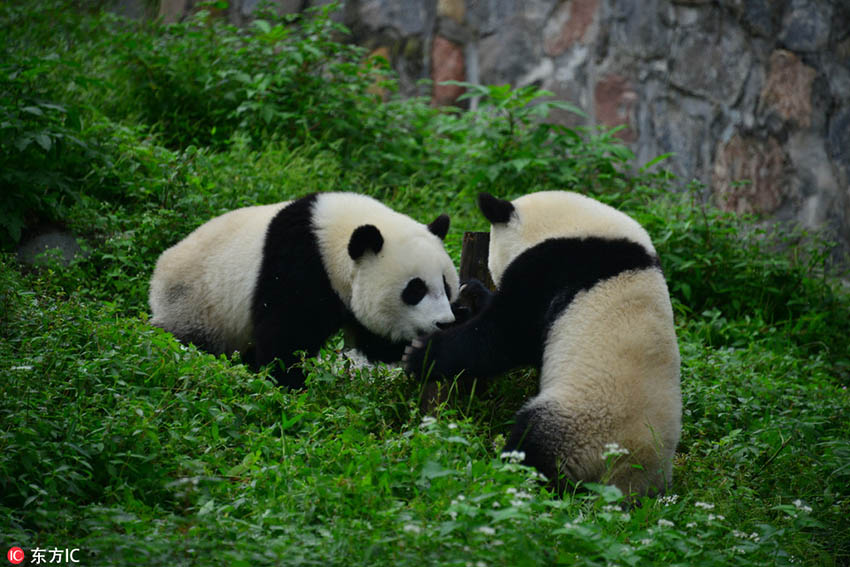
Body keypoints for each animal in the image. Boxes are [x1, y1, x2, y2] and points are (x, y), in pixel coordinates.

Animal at [149, 193, 460, 388]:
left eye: (446, 286)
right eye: (415, 289)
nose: (444, 323)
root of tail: (158, 272)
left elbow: (377, 344)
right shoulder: (297, 266)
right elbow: (285, 335)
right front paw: (291, 385)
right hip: (195, 304)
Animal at [406, 191, 684, 496]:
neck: (571, 227)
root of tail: (627, 474)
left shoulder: (551, 270)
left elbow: (506, 337)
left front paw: (421, 354)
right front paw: (473, 294)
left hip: (580, 422)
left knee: (532, 443)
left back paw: (508, 475)